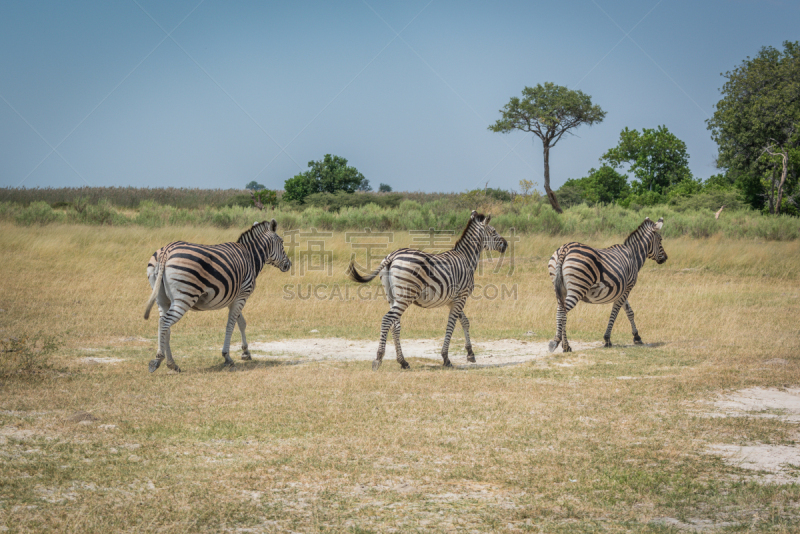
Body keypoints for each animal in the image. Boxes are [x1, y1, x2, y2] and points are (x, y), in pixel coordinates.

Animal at [143, 220, 290, 374]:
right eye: (282, 242)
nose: (288, 265)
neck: (250, 256)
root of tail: (166, 251)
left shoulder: (235, 298)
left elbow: (241, 323)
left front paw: (245, 352)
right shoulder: (242, 295)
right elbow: (231, 324)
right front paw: (227, 357)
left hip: (162, 298)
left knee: (163, 324)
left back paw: (171, 363)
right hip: (185, 297)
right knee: (166, 322)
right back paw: (159, 360)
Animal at [346, 211, 510, 370]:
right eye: (493, 231)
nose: (506, 244)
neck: (466, 258)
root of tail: (392, 256)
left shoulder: (452, 299)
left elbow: (464, 321)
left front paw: (470, 353)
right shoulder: (461, 296)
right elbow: (451, 324)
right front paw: (446, 358)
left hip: (392, 296)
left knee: (395, 324)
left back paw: (403, 362)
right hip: (406, 295)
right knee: (387, 320)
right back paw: (378, 359)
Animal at [548, 216, 664, 354]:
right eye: (660, 240)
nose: (665, 258)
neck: (633, 256)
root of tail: (565, 248)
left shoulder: (622, 290)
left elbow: (629, 311)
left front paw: (637, 337)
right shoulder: (627, 288)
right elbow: (615, 312)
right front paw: (607, 339)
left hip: (560, 288)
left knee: (561, 311)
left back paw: (561, 343)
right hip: (577, 288)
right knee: (563, 312)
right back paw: (562, 344)